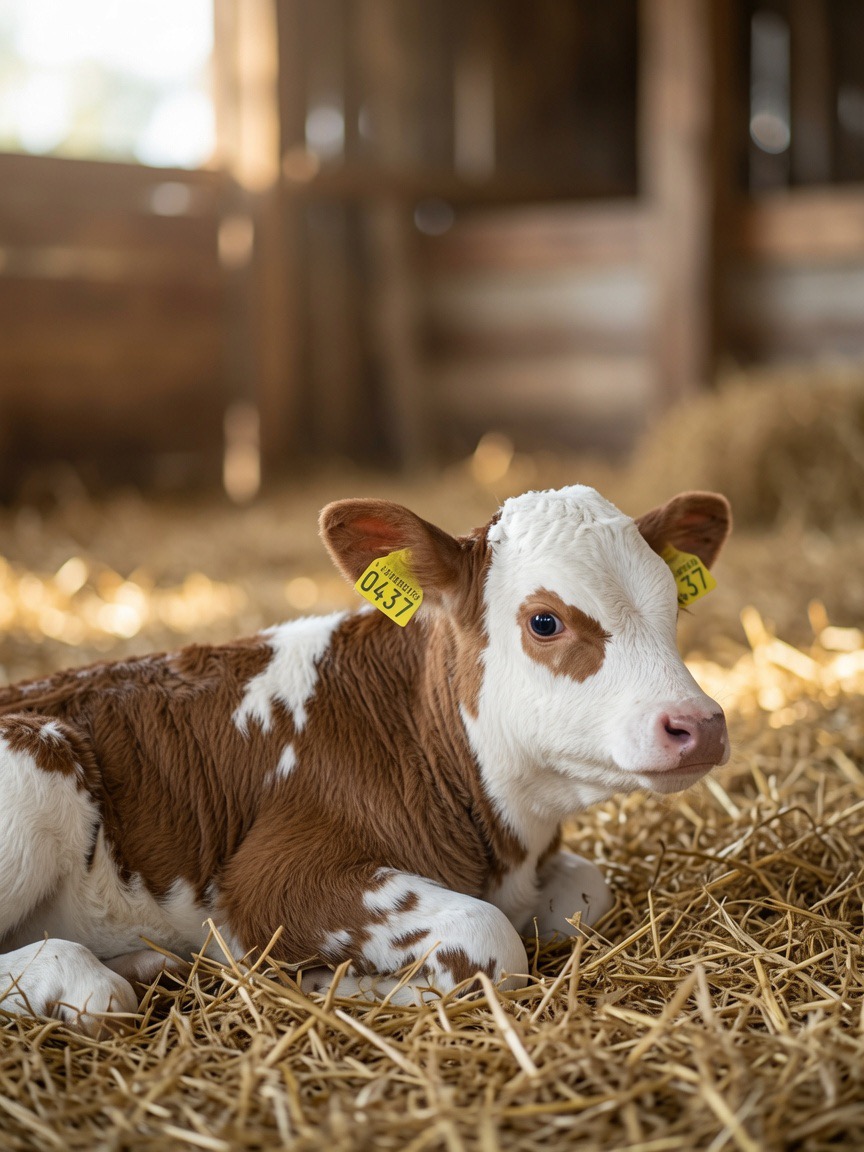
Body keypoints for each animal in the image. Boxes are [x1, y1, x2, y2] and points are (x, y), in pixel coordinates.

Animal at [0, 485, 731, 1034]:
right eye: (545, 621)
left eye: (674, 604)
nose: (699, 724)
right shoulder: (268, 880)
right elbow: (490, 939)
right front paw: (326, 981)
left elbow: (586, 893)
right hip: (34, 776)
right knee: (95, 994)